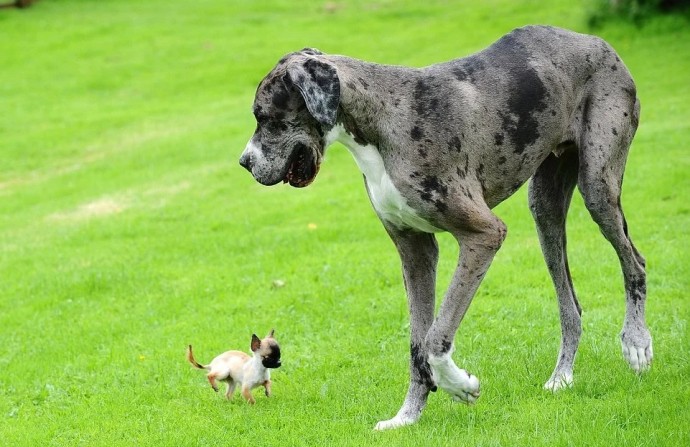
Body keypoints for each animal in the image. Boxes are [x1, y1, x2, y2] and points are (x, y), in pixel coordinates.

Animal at [239, 25, 648, 430]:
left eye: (265, 116)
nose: (244, 162)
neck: (379, 123)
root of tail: (597, 41)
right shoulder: (415, 250)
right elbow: (417, 344)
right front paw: (406, 416)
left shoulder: (484, 234)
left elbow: (436, 337)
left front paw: (459, 385)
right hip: (544, 210)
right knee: (571, 306)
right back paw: (562, 377)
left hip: (597, 187)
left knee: (635, 262)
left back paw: (637, 343)